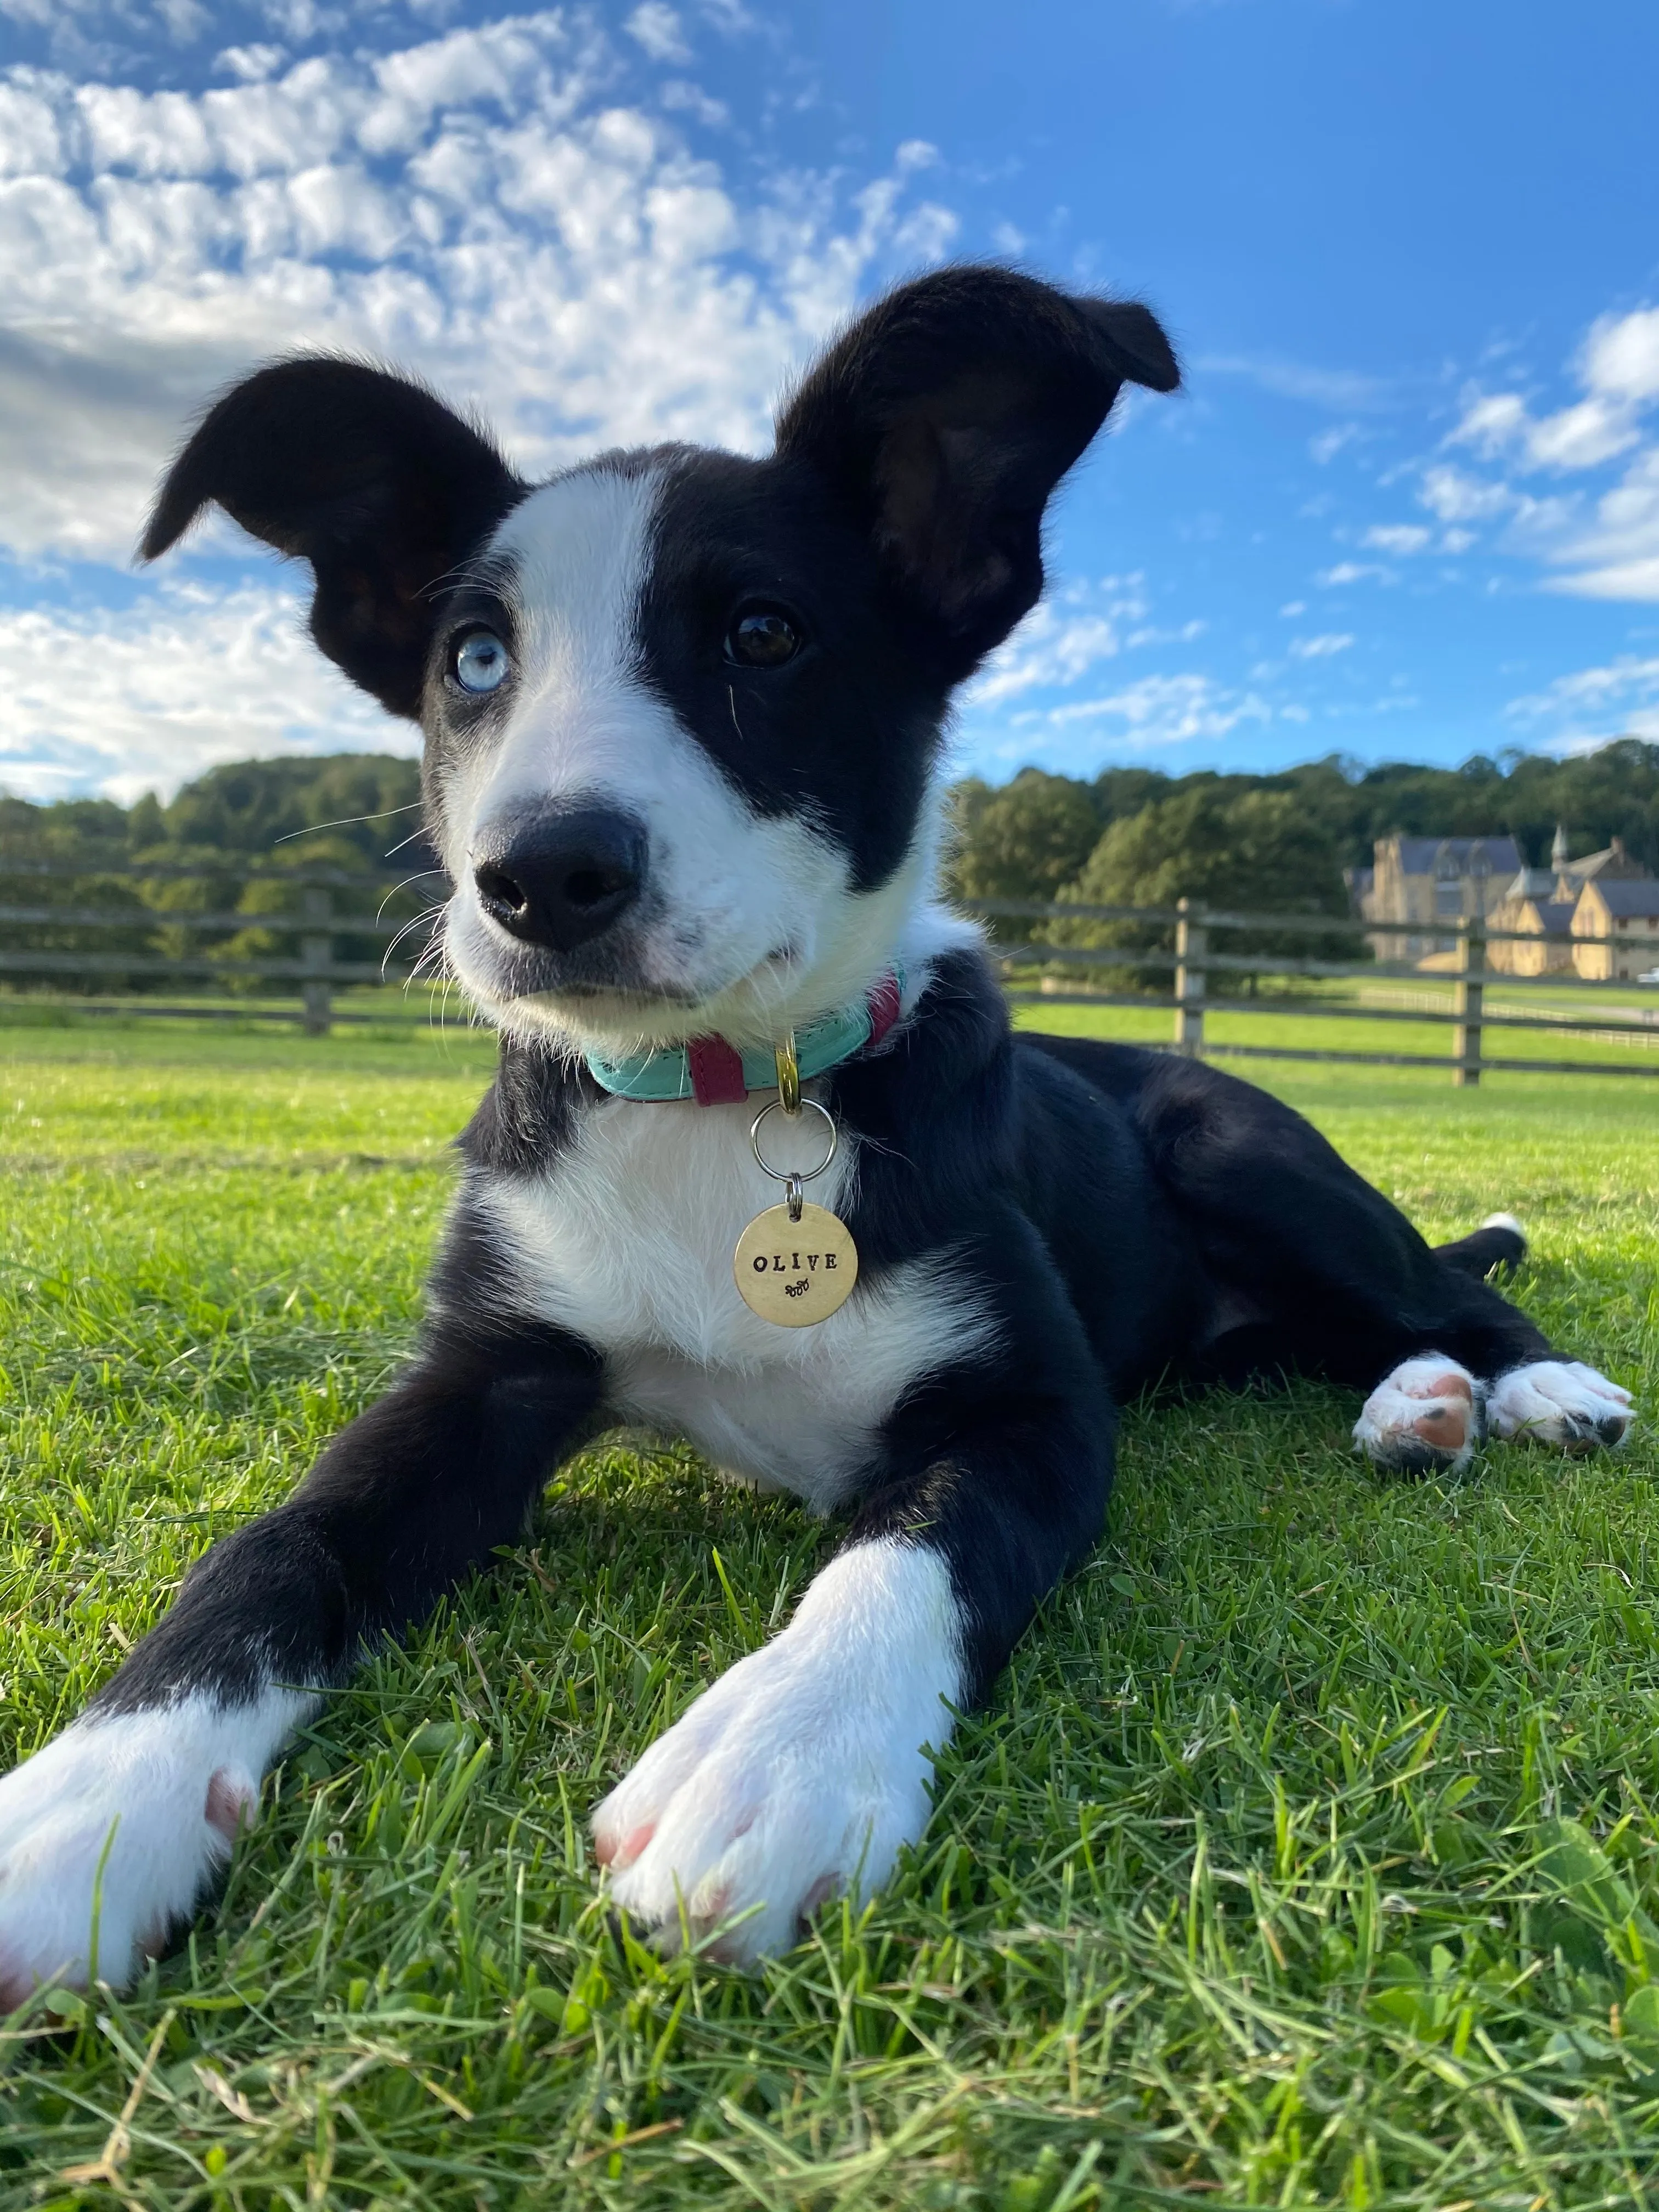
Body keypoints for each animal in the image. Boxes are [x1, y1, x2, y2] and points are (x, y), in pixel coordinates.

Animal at [0, 267, 1637, 1999]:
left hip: (1241, 1149)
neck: (719, 1094)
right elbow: (268, 1548)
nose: (540, 875)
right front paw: (91, 1799)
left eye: (765, 635)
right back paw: (1417, 1408)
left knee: (1438, 1286)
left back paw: (1524, 1386)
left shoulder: (1033, 1412)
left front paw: (771, 1753)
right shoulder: (479, 1375)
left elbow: (910, 1544)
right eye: (476, 660)